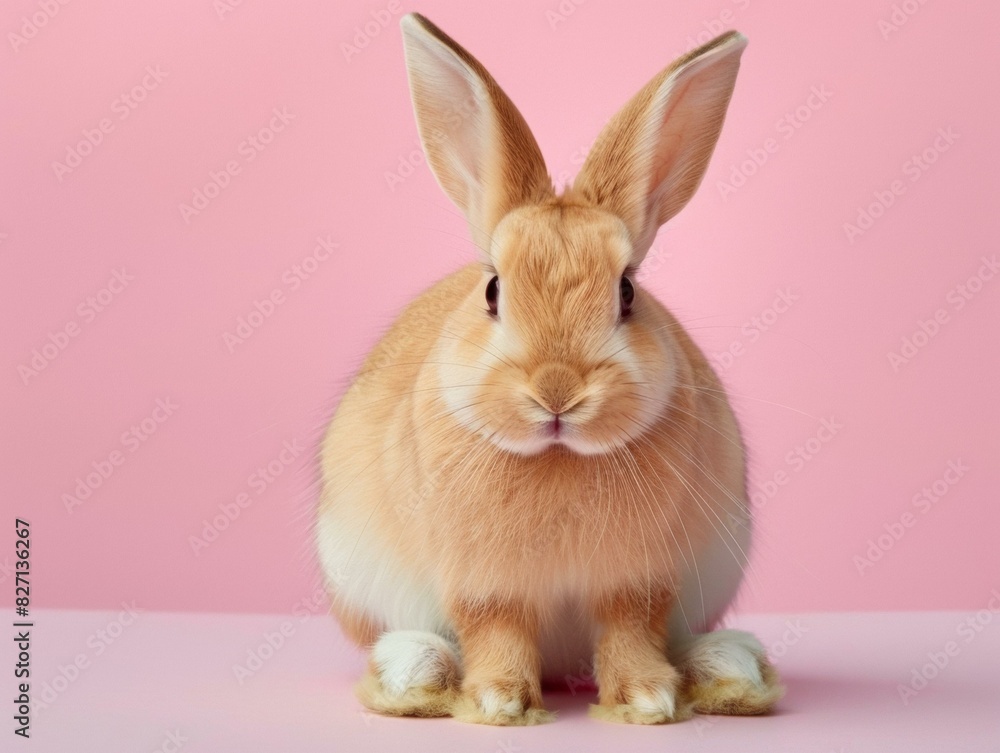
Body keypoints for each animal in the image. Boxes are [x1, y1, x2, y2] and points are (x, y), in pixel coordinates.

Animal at [315, 12, 784, 726]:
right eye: (492, 291)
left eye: (627, 292)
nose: (557, 390)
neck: (559, 458)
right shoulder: (486, 583)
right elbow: (497, 629)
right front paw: (500, 702)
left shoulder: (638, 580)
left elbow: (629, 631)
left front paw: (647, 701)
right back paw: (414, 672)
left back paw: (727, 666)